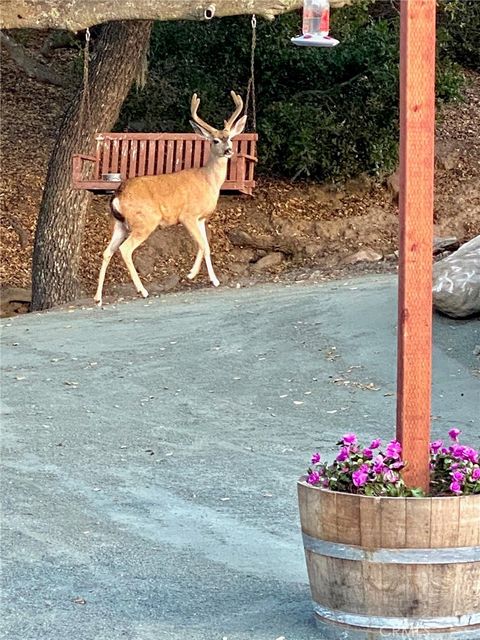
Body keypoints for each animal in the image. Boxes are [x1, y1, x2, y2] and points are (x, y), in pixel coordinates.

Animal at [96, 90, 249, 308]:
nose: (229, 151)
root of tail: (118, 195)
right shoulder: (188, 215)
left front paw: (199, 276)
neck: (208, 180)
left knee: (107, 251)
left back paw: (98, 297)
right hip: (144, 221)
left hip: (119, 224)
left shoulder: (201, 218)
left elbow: (205, 245)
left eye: (231, 138)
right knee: (125, 249)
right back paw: (143, 291)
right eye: (215, 141)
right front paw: (206, 278)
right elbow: (203, 245)